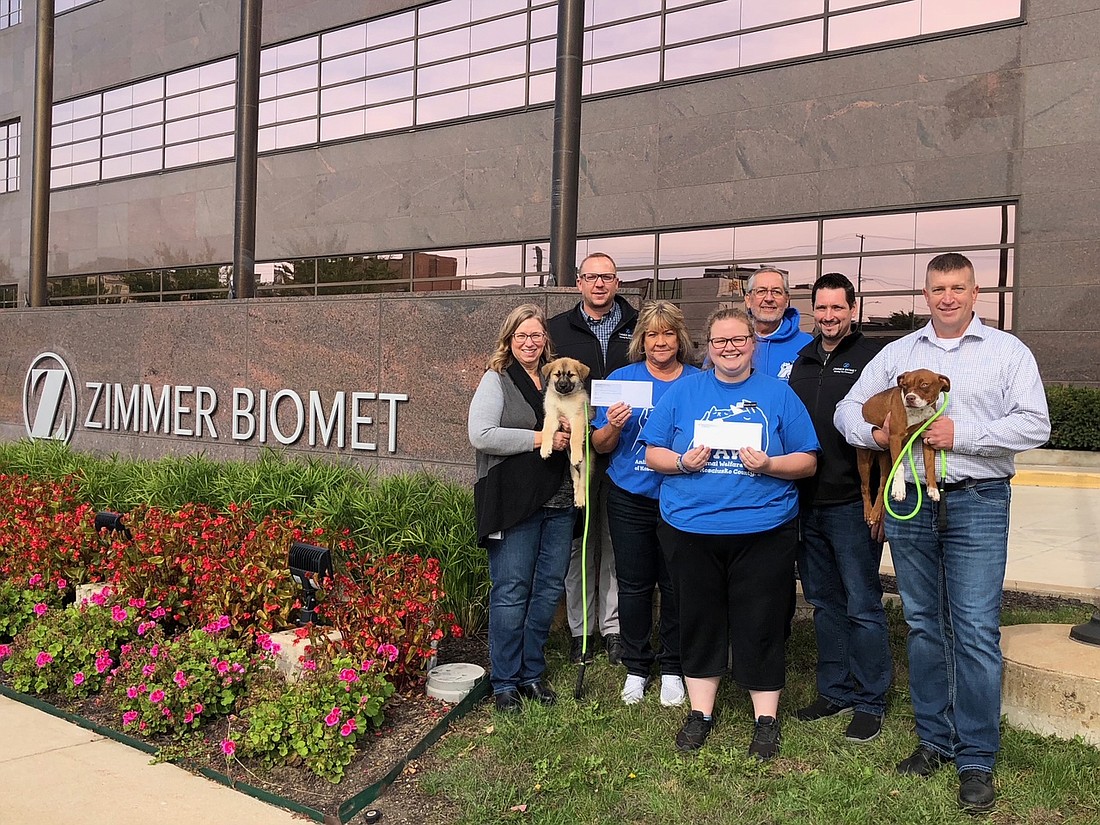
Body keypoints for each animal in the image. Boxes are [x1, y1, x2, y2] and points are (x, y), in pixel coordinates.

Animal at [536, 356, 589, 510]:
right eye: (557, 374)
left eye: (571, 375)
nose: (563, 385)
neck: (564, 399)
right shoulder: (552, 417)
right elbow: (547, 432)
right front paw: (545, 449)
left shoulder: (577, 419)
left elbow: (575, 438)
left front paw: (576, 454)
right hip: (571, 468)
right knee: (576, 480)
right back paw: (576, 498)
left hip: (585, 465)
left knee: (582, 482)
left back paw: (581, 499)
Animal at [853, 371, 950, 525]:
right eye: (904, 385)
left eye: (924, 384)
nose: (909, 398)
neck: (919, 412)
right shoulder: (895, 438)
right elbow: (900, 466)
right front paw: (899, 489)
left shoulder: (928, 438)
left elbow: (930, 466)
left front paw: (933, 488)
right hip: (864, 460)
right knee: (865, 487)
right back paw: (868, 512)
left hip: (886, 460)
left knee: (882, 487)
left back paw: (875, 513)